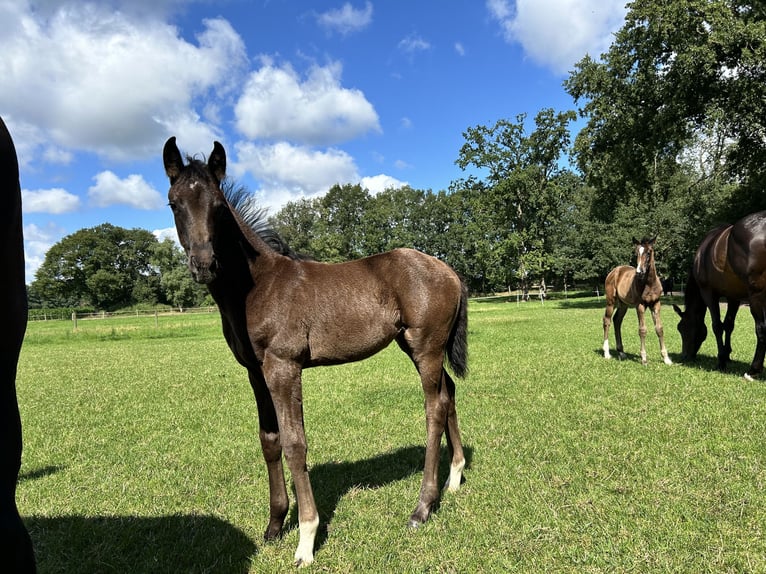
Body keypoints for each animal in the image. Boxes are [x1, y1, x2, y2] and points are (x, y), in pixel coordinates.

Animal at [165, 138, 472, 568]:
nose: (204, 264)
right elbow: (270, 439)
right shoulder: (255, 372)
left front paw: (306, 539)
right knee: (450, 394)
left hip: (425, 346)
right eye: (174, 203)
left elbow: (296, 443)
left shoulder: (284, 367)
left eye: (219, 207)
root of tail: (448, 270)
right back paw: (455, 477)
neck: (256, 286)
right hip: (418, 346)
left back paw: (422, 506)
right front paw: (274, 525)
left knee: (435, 407)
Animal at [676, 209, 766, 380]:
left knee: (761, 328)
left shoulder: (708, 293)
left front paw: (721, 360)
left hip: (757, 296)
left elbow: (717, 325)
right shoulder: (733, 297)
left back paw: (754, 369)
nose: (685, 356)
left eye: (682, 328)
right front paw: (727, 353)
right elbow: (729, 324)